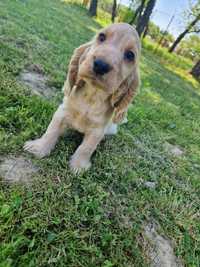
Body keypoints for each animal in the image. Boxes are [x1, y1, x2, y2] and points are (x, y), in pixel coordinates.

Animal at [24, 23, 141, 174]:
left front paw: (78, 167)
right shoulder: (62, 111)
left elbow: (86, 148)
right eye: (101, 36)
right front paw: (38, 147)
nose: (100, 65)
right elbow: (51, 130)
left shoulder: (97, 130)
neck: (92, 95)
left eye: (130, 55)